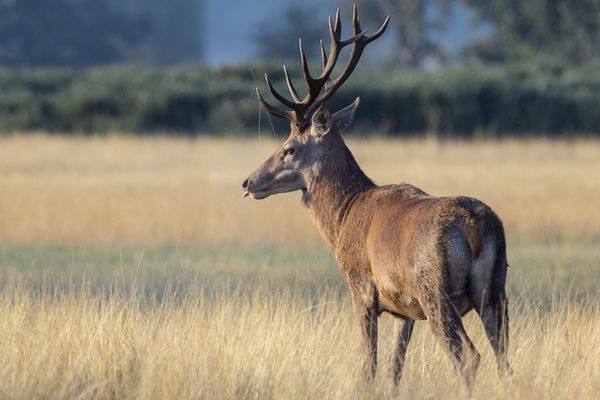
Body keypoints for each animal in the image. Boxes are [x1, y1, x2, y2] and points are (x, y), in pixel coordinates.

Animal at [243, 5, 510, 394]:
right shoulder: (404, 309)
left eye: (289, 148)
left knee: (469, 358)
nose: (248, 181)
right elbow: (395, 366)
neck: (343, 217)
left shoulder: (360, 286)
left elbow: (369, 363)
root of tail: (476, 226)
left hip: (436, 291)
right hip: (495, 291)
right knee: (504, 359)